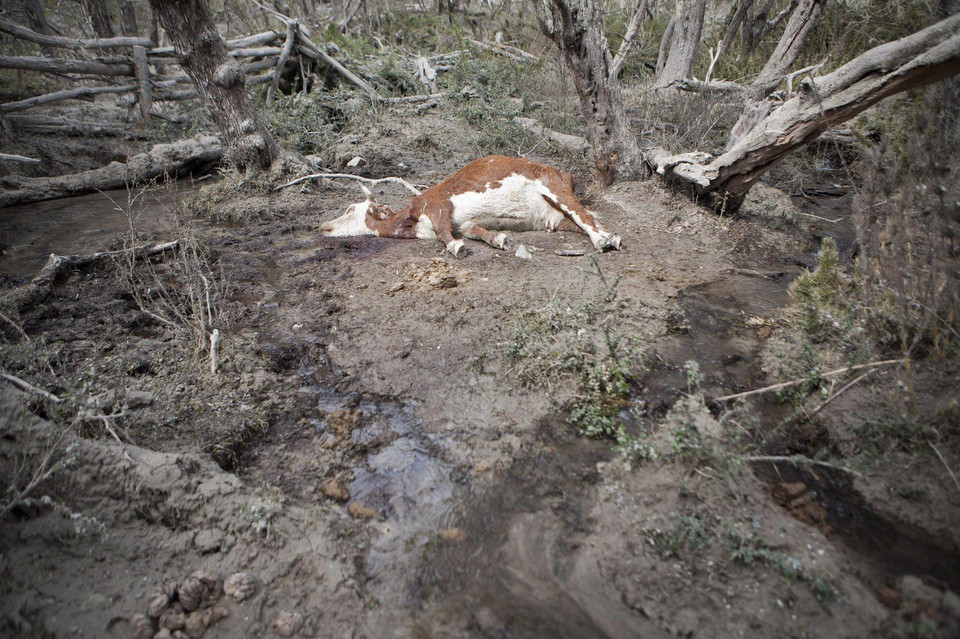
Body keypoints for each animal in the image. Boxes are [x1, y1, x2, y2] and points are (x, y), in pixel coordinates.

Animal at [318, 155, 628, 258]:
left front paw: (457, 248)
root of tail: (563, 173)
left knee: (586, 216)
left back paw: (605, 240)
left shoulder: (437, 204)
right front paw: (498, 238)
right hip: (552, 218)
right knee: (579, 222)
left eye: (349, 209)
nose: (323, 226)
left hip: (554, 187)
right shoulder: (464, 223)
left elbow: (444, 232)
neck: (412, 222)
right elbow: (473, 230)